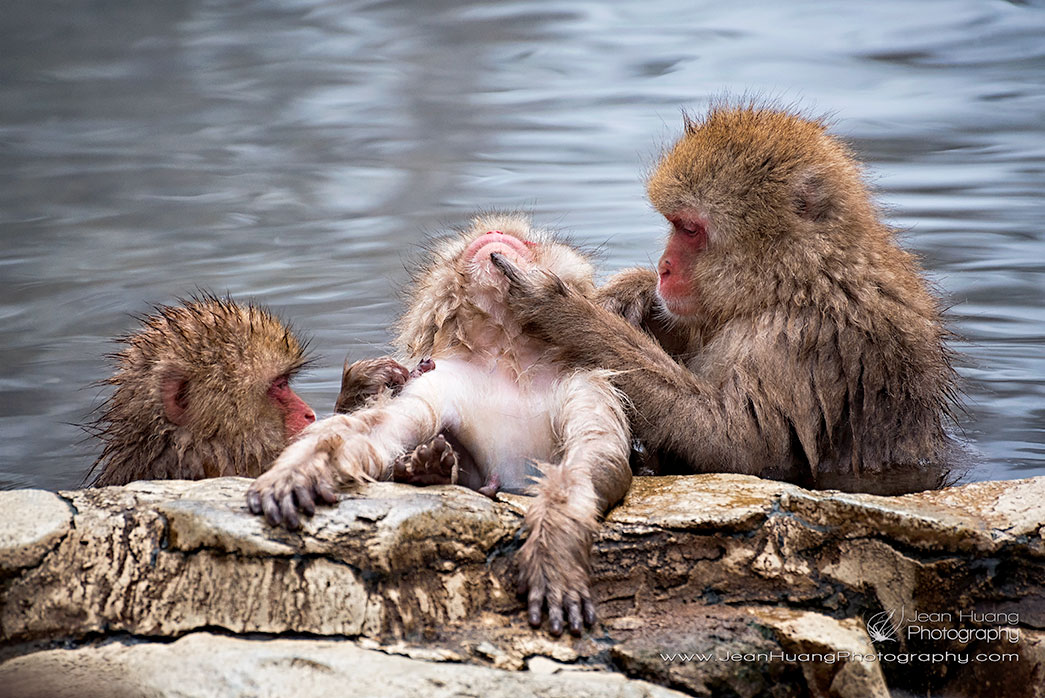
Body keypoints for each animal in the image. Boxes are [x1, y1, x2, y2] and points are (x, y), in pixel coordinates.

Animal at [248, 215, 631, 635]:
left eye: (527, 242)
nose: (494, 231)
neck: (508, 355)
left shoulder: (583, 381)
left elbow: (591, 455)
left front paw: (553, 550)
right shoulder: (436, 377)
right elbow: (372, 430)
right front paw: (296, 471)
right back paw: (428, 467)